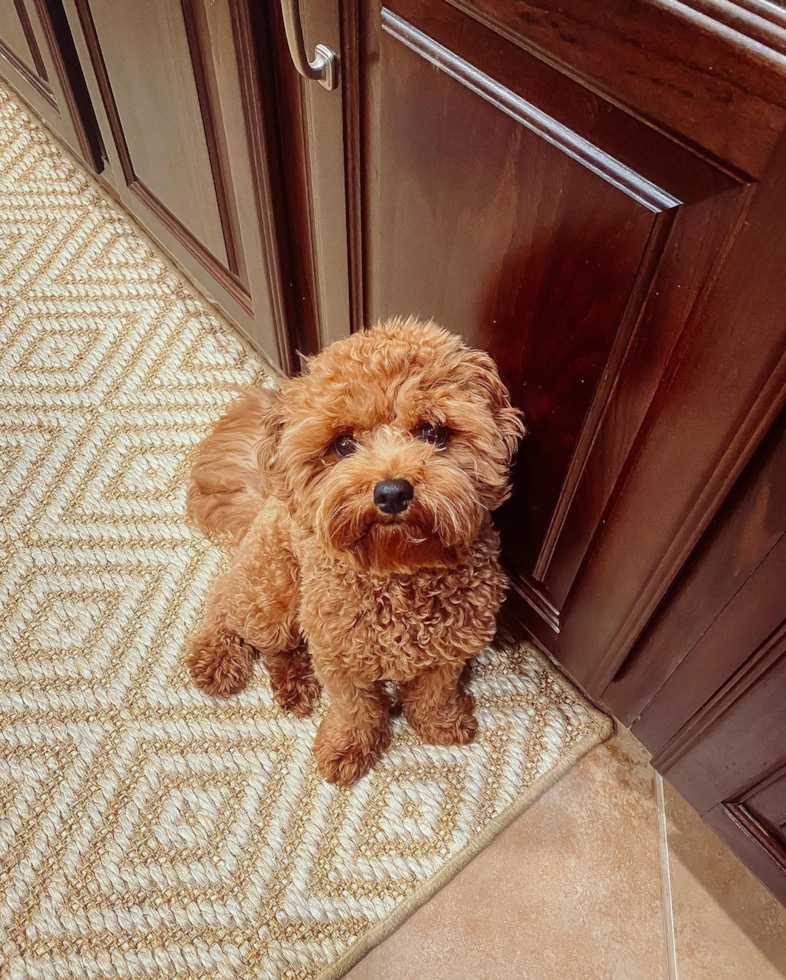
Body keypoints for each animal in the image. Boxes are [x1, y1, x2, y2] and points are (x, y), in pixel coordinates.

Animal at [186, 318, 524, 784]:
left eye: (433, 432)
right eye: (343, 444)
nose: (392, 491)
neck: (399, 574)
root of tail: (270, 496)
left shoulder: (450, 651)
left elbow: (434, 692)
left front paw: (440, 725)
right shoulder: (339, 659)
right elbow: (354, 709)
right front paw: (346, 750)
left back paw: (293, 683)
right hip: (272, 594)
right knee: (225, 601)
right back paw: (215, 658)